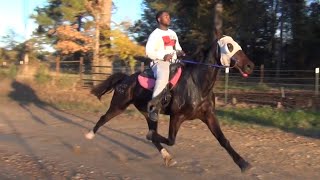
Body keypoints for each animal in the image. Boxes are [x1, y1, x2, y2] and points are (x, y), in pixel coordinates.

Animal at [84, 31, 255, 173]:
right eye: (229, 46)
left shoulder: (209, 116)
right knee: (103, 118)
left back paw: (167, 156)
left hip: (149, 113)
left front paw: (243, 163)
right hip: (118, 106)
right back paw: (89, 135)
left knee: (152, 132)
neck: (197, 84)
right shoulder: (177, 116)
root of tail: (125, 79)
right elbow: (171, 140)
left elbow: (223, 140)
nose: (250, 66)